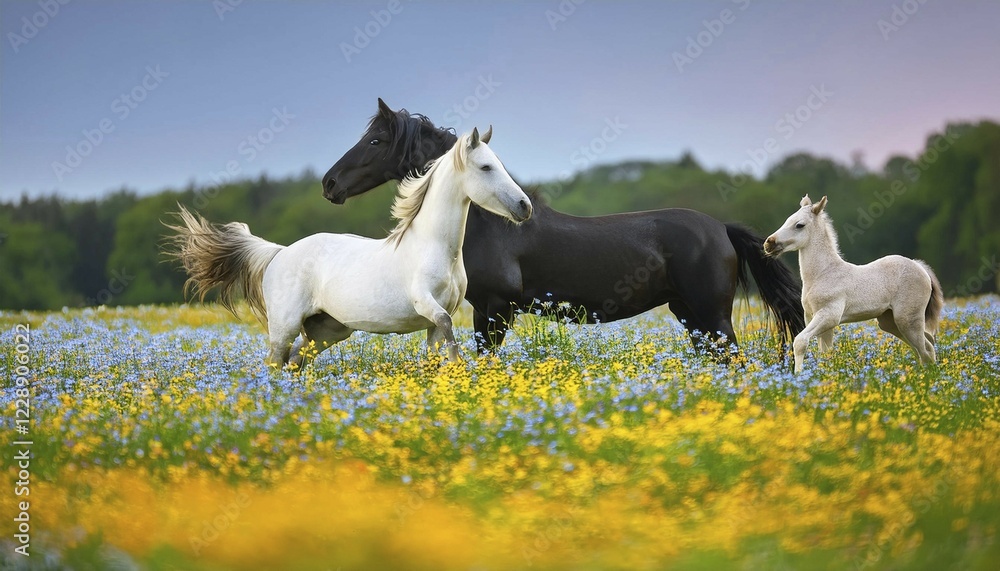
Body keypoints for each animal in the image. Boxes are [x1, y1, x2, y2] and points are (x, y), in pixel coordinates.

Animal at [165, 128, 531, 368]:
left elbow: (438, 343)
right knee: (275, 363)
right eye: (486, 167)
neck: (435, 247)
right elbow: (447, 328)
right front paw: (458, 366)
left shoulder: (436, 320)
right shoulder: (426, 303)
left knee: (295, 362)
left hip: (327, 330)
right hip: (284, 326)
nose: (524, 206)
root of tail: (279, 253)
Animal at [320, 98, 805, 359]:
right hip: (690, 314)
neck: (493, 225)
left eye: (375, 141)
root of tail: (720, 229)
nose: (329, 184)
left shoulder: (493, 310)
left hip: (714, 315)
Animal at [763, 195, 943, 373]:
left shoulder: (829, 315)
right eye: (787, 219)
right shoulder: (815, 319)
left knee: (925, 350)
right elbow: (825, 352)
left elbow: (800, 341)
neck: (823, 274)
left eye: (799, 225)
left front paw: (799, 376)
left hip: (907, 320)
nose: (769, 243)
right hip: (890, 322)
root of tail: (920, 267)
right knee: (925, 345)